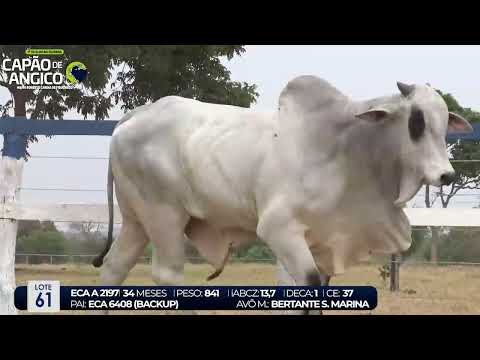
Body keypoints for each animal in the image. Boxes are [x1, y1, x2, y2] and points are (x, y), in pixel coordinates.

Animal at [92, 76, 470, 312]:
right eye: (416, 122)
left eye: (443, 125)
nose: (446, 174)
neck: (348, 151)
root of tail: (133, 117)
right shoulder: (278, 228)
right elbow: (308, 284)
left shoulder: (320, 238)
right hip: (165, 216)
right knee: (168, 276)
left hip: (137, 220)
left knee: (113, 270)